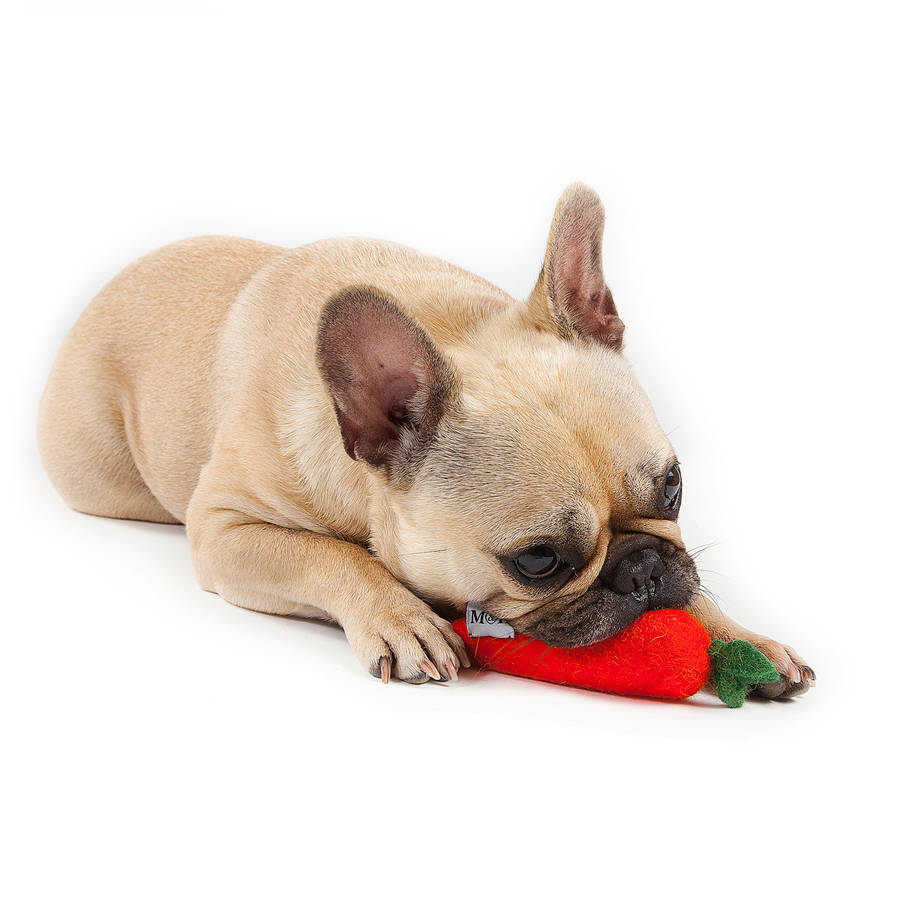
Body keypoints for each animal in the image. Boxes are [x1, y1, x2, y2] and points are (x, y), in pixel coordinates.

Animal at [38, 179, 816, 692]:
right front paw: (400, 618)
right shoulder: (223, 528)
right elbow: (327, 556)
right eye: (539, 560)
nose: (643, 569)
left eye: (675, 487)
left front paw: (741, 635)